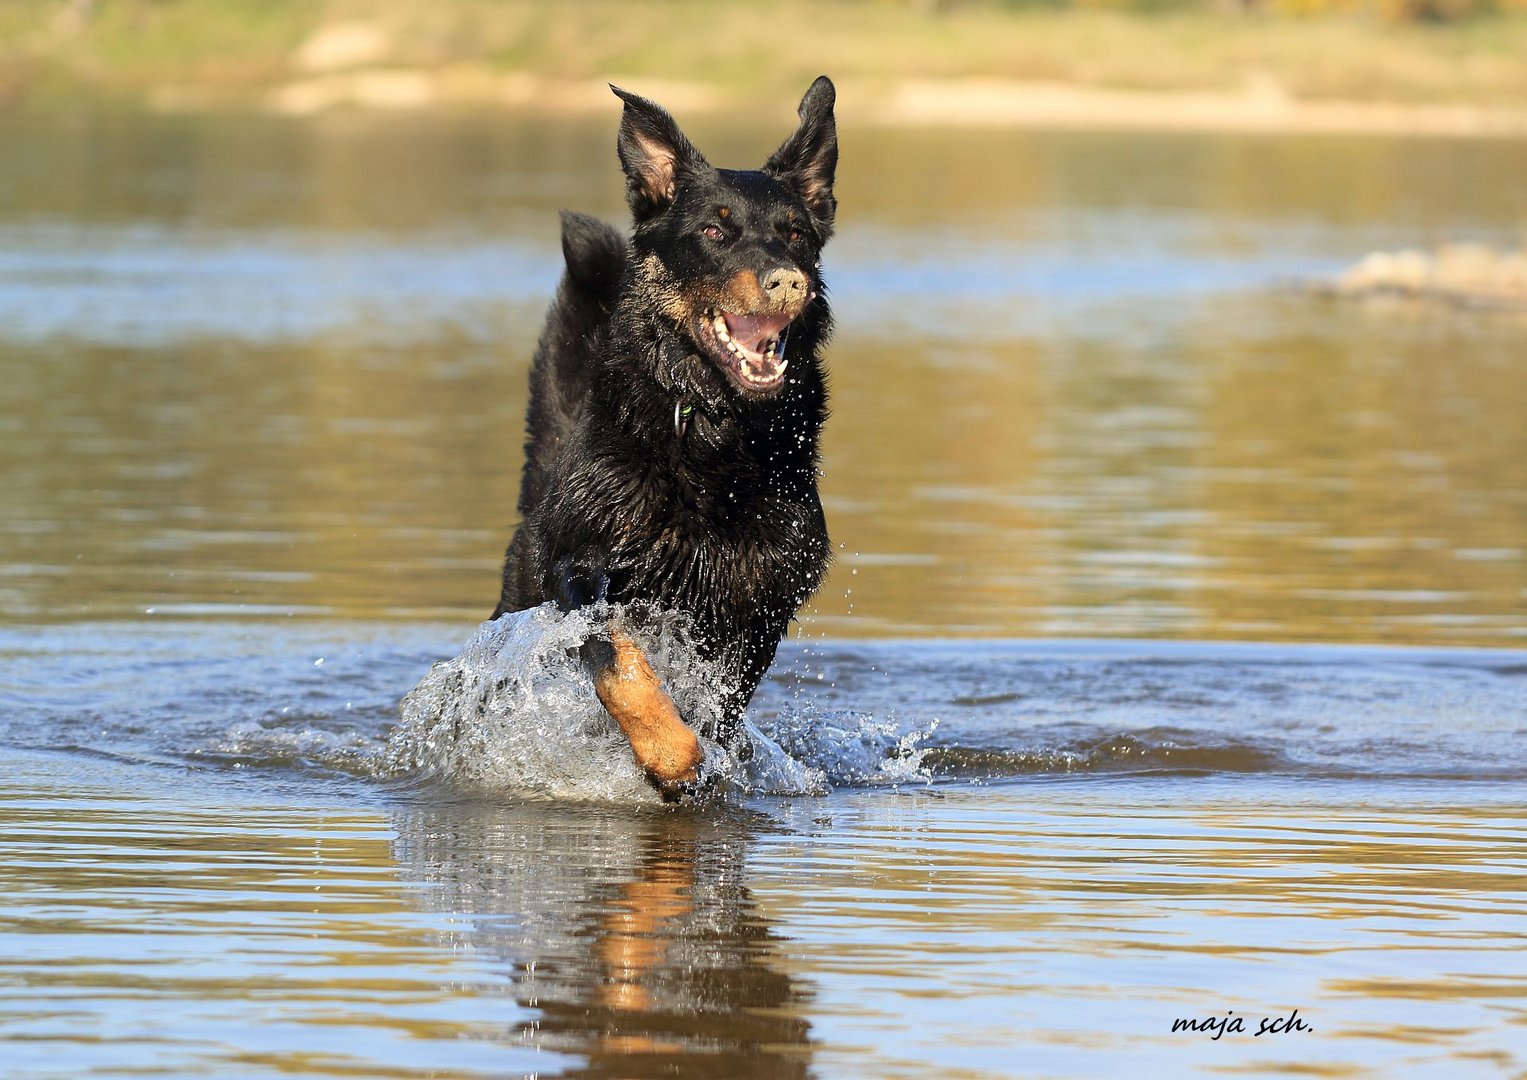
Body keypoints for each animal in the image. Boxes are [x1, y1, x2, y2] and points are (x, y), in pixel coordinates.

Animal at [494, 75, 842, 800]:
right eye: (713, 230)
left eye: (795, 233)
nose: (787, 281)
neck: (714, 440)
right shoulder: (587, 574)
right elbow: (624, 670)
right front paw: (668, 755)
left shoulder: (758, 611)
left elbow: (715, 707)